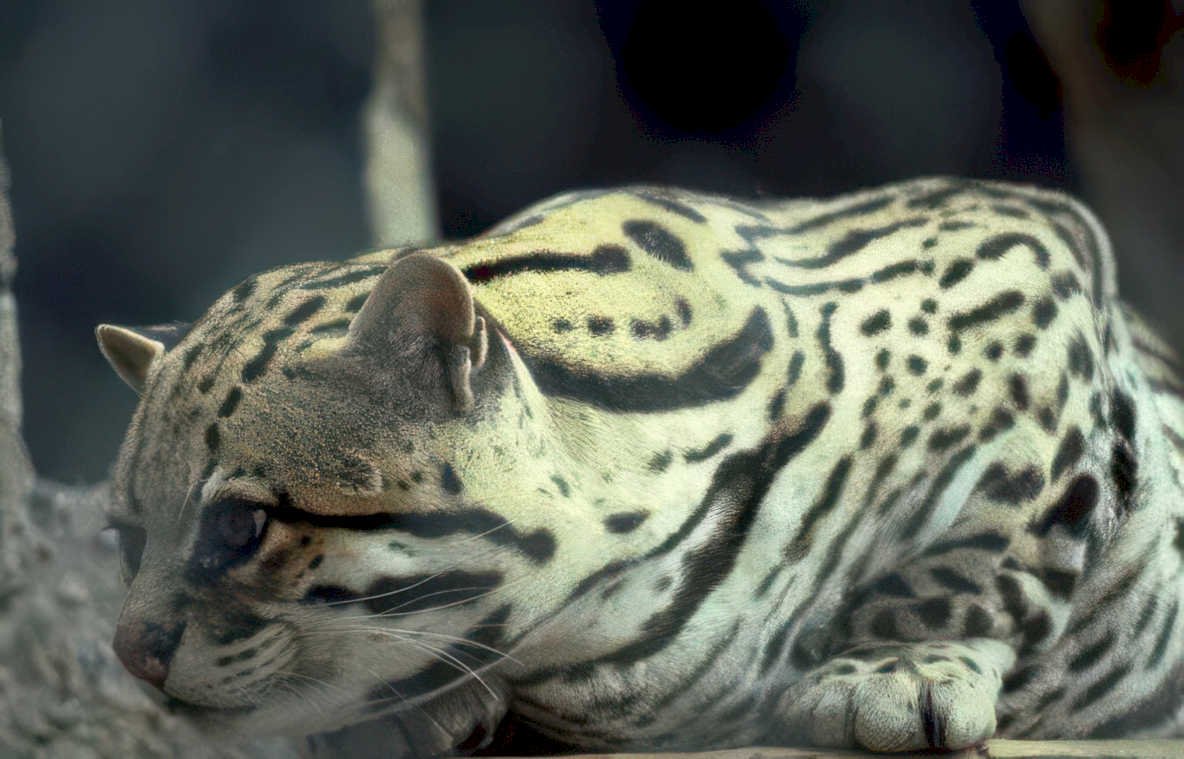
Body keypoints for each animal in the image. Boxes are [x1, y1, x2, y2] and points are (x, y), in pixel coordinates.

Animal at [96, 177, 1184, 755]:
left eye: (239, 524)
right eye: (127, 538)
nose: (129, 654)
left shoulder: (1035, 267)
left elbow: (985, 554)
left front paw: (890, 669)